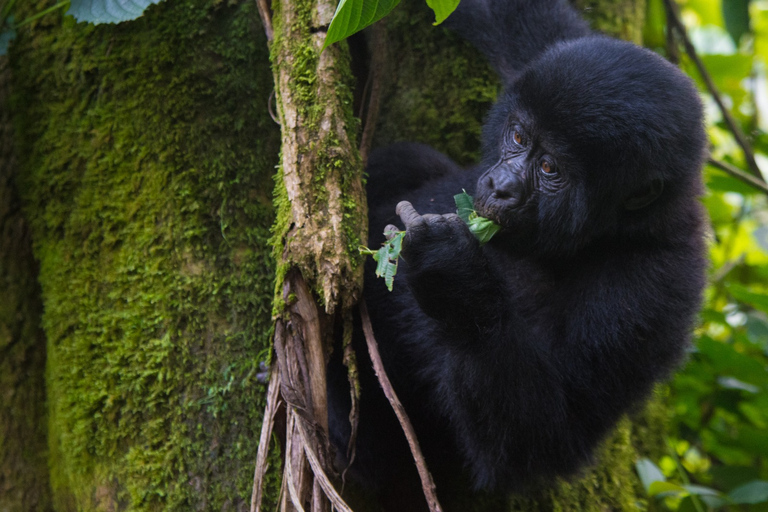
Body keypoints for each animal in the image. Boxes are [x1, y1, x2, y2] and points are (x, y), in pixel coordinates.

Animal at [328, 0, 704, 500]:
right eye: (520, 137)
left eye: (549, 168)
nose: (500, 186)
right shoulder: (557, 54)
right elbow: (509, 16)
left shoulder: (655, 289)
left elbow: (541, 442)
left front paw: (454, 280)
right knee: (407, 160)